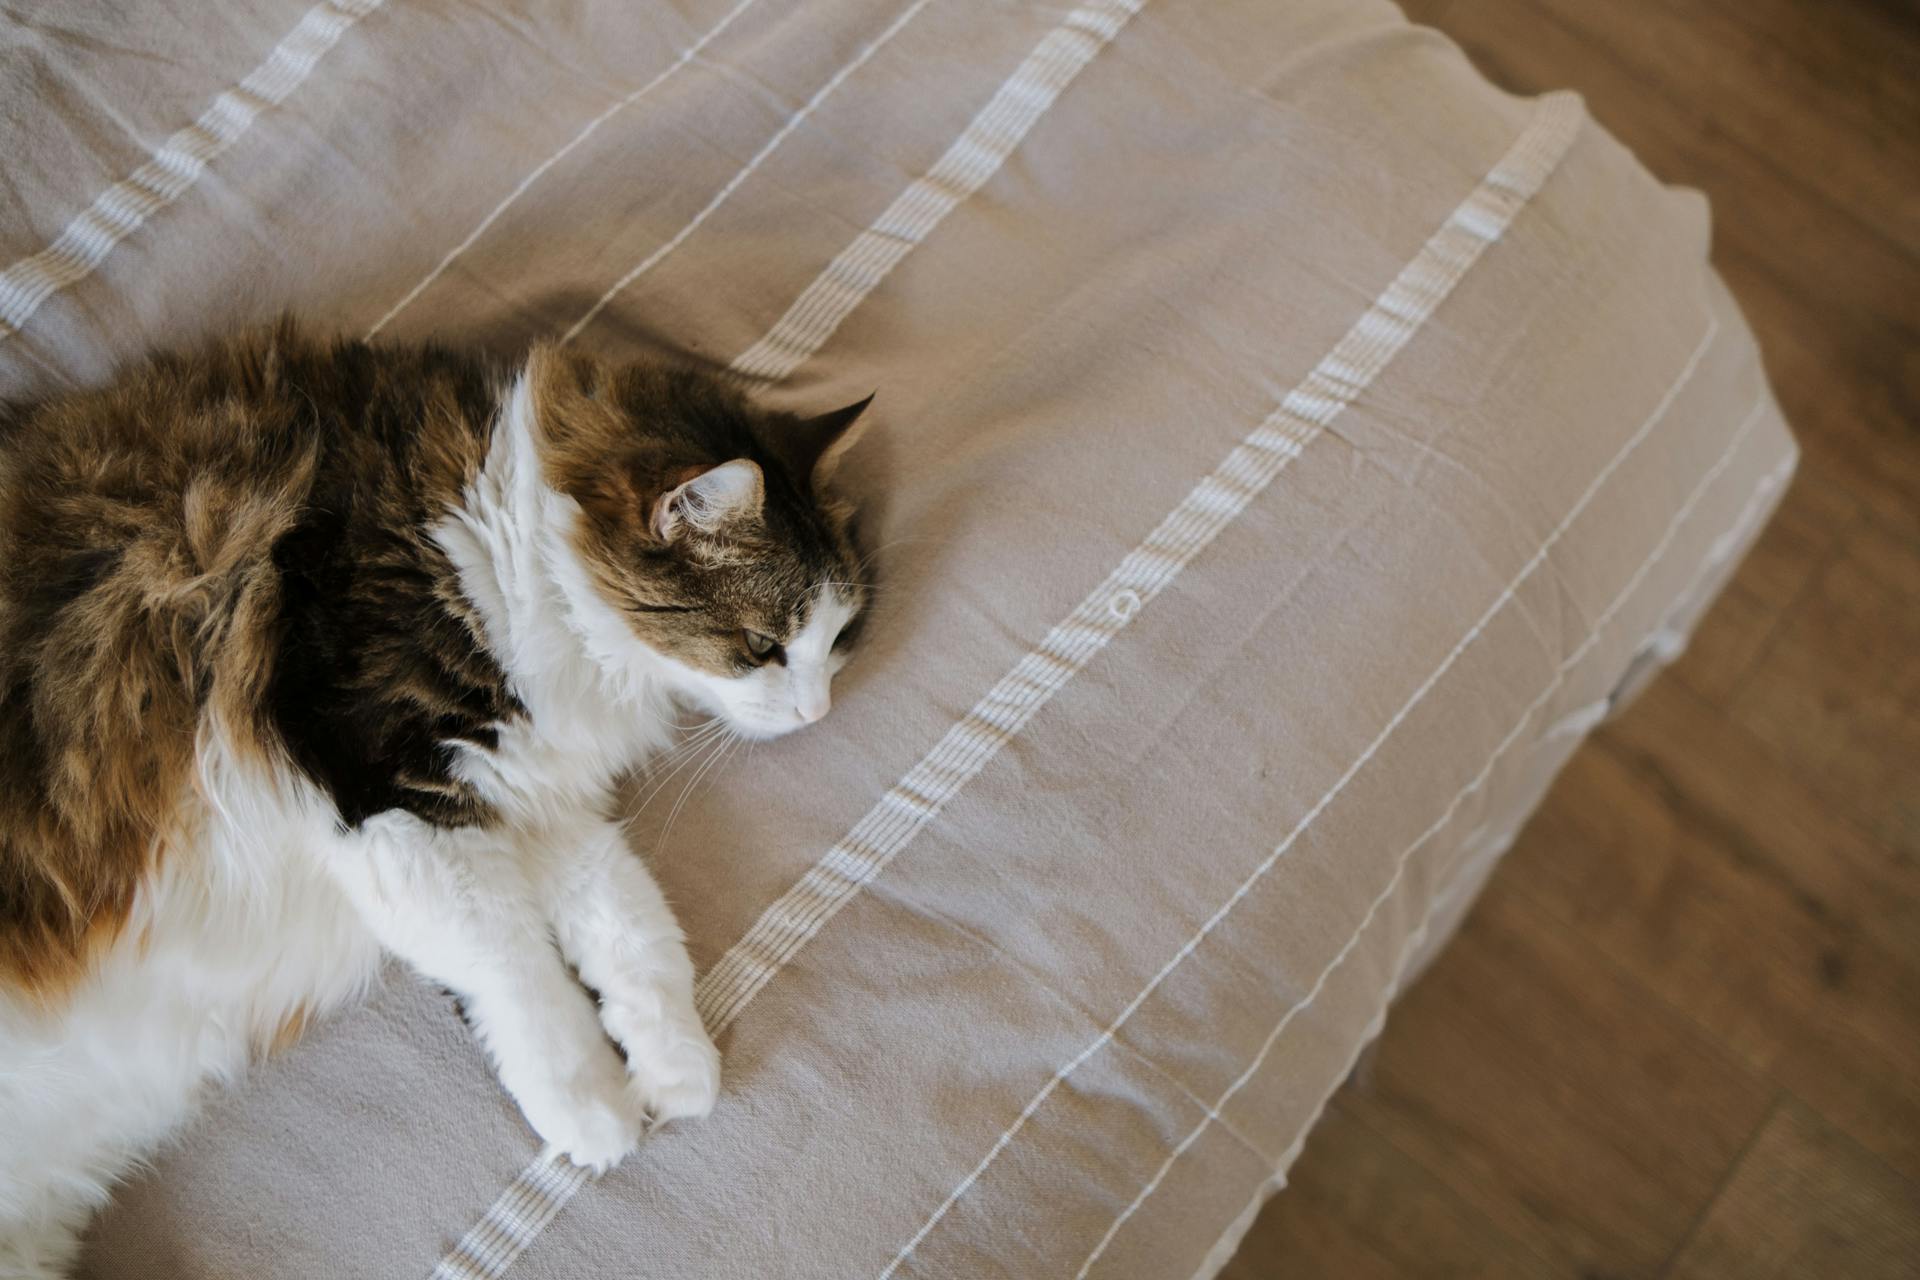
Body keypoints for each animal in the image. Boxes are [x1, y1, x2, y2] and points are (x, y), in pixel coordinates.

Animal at [0, 318, 871, 1274]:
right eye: (762, 647)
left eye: (839, 637)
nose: (819, 710)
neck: (502, 547)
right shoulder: (392, 792)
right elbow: (516, 970)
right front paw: (592, 1109)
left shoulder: (532, 799)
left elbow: (633, 931)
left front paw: (675, 1065)